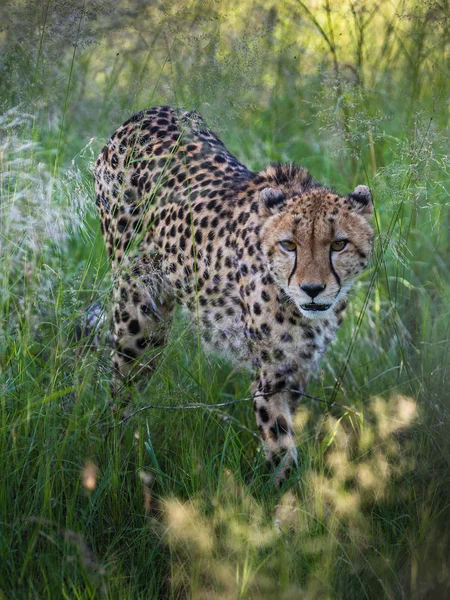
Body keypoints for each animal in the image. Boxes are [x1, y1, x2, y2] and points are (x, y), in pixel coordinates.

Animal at [94, 105, 372, 486]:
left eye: (339, 244)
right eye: (289, 245)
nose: (312, 289)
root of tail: (149, 112)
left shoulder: (298, 367)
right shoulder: (272, 372)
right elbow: (280, 446)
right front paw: (282, 496)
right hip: (140, 317)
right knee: (120, 388)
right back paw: (117, 454)